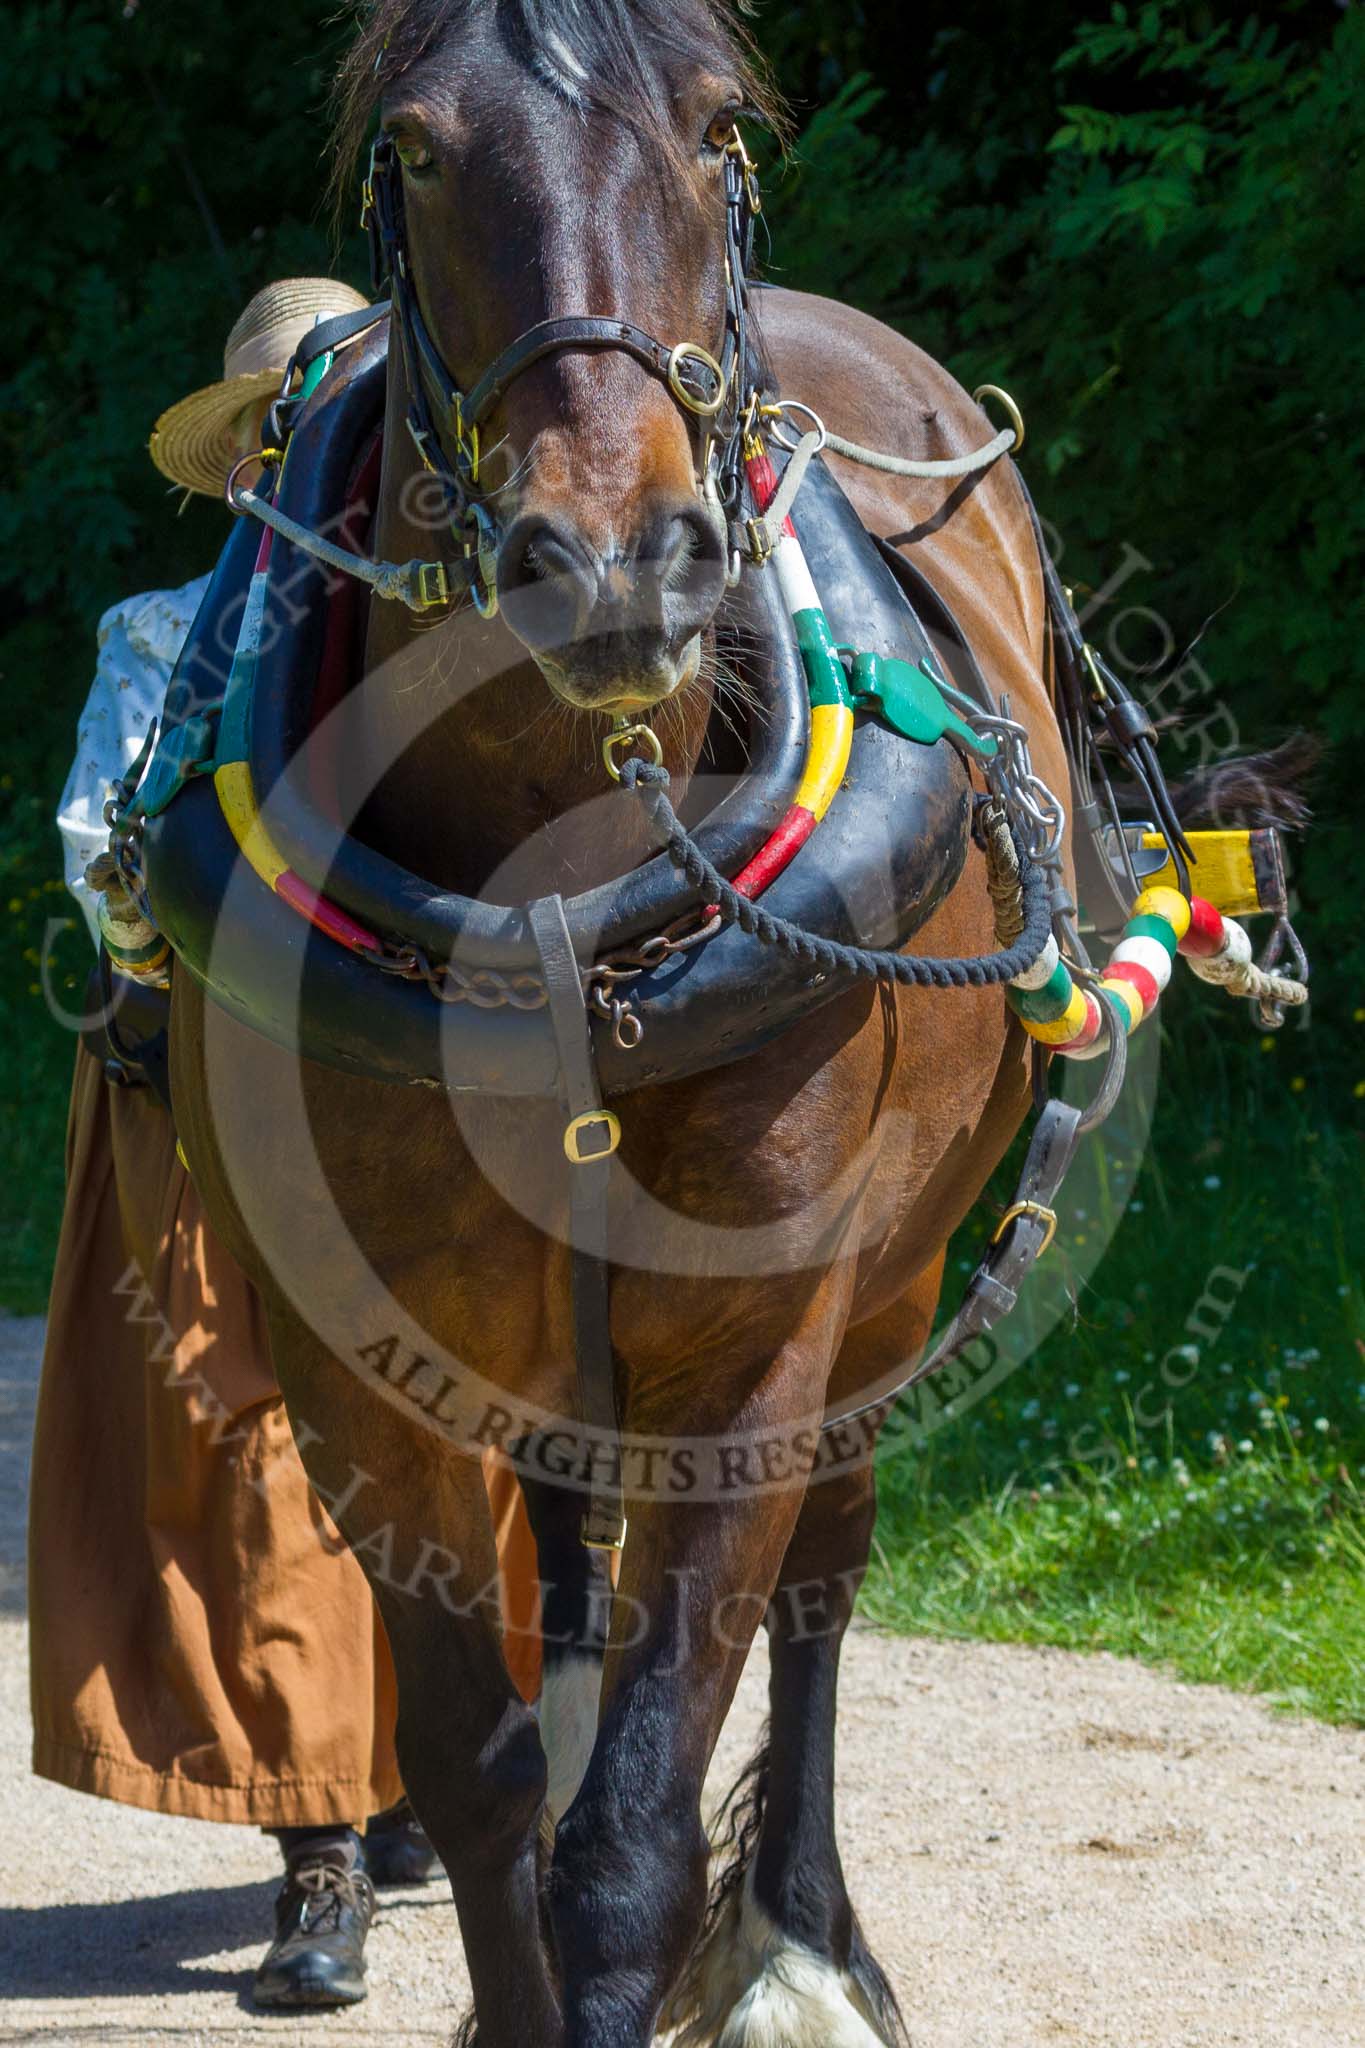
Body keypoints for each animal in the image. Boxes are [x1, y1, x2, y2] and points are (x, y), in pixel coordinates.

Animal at [168, 1, 1074, 2040]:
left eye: (718, 125)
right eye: (419, 149)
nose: (612, 561)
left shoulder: (757, 1346)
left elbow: (636, 1837)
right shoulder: (356, 1353)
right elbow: (477, 1773)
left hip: (891, 1271)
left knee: (827, 1575)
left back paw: (801, 1939)